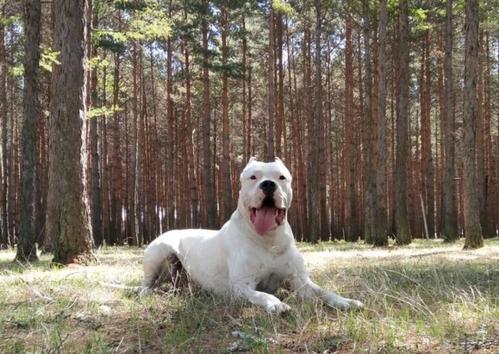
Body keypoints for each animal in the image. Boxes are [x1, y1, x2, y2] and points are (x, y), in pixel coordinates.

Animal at [141, 158, 364, 312]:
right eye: (253, 177)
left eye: (281, 177)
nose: (268, 184)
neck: (269, 241)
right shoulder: (242, 286)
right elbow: (262, 295)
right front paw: (276, 304)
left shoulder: (300, 282)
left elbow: (325, 292)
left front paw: (346, 301)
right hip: (158, 252)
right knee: (147, 282)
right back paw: (145, 292)